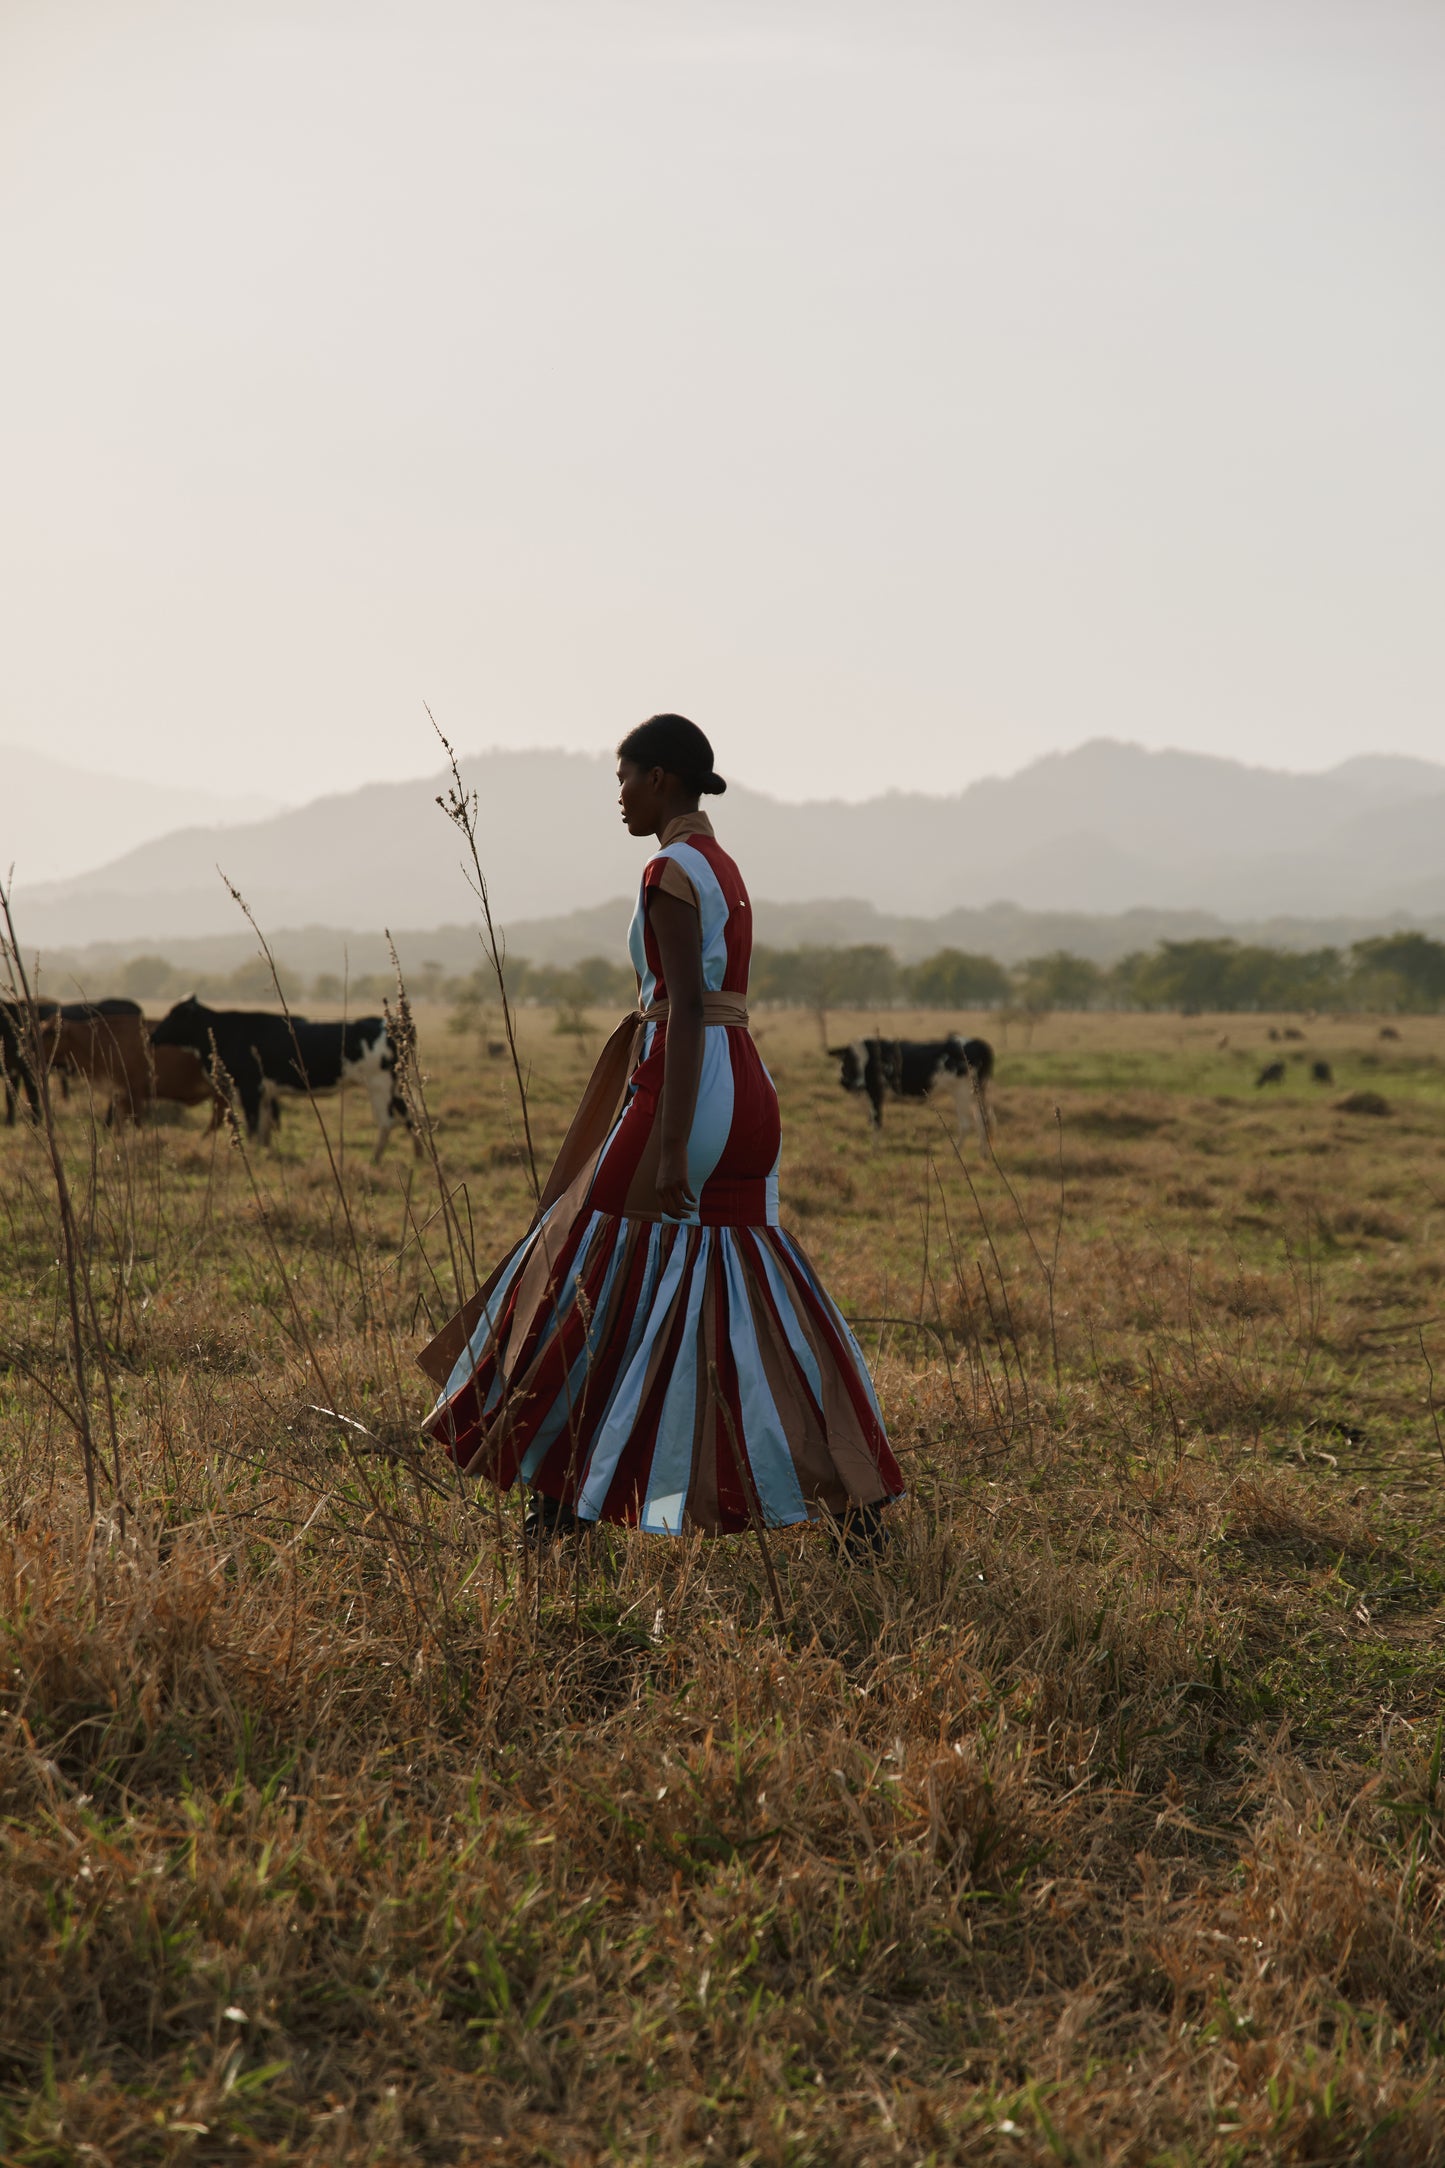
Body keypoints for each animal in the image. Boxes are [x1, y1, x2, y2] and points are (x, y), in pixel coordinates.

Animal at [153, 997, 411, 1170]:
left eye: (174, 1015)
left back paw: (375, 1159)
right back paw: (416, 1157)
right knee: (409, 1117)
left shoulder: (250, 1088)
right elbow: (264, 1126)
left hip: (379, 1085)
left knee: (387, 1123)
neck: (229, 1031)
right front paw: (264, 1153)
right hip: (396, 1089)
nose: (152, 1036)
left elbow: (254, 1125)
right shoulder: (264, 1092)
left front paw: (253, 1154)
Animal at [823, 1036, 996, 1144]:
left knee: (967, 1123)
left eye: (867, 1063)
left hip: (962, 1093)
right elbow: (872, 1122)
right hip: (976, 1094)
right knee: (984, 1120)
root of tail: (979, 1043)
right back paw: (984, 1154)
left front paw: (875, 1152)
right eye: (849, 1060)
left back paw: (956, 1154)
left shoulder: (876, 1095)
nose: (858, 1084)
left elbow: (877, 1123)